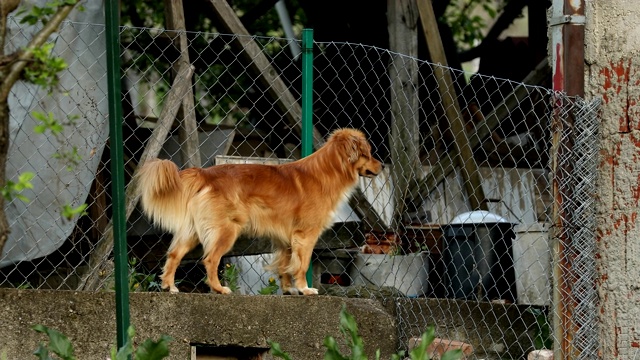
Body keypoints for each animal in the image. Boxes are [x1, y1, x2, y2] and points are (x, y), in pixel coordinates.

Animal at [138, 128, 382, 294]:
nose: (381, 166)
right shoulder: (305, 235)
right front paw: (304, 289)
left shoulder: (286, 239)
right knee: (210, 259)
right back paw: (218, 289)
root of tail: (205, 173)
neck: (328, 170)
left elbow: (285, 265)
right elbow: (301, 265)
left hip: (193, 232)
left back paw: (169, 286)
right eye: (369, 154)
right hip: (225, 231)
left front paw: (288, 289)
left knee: (174, 254)